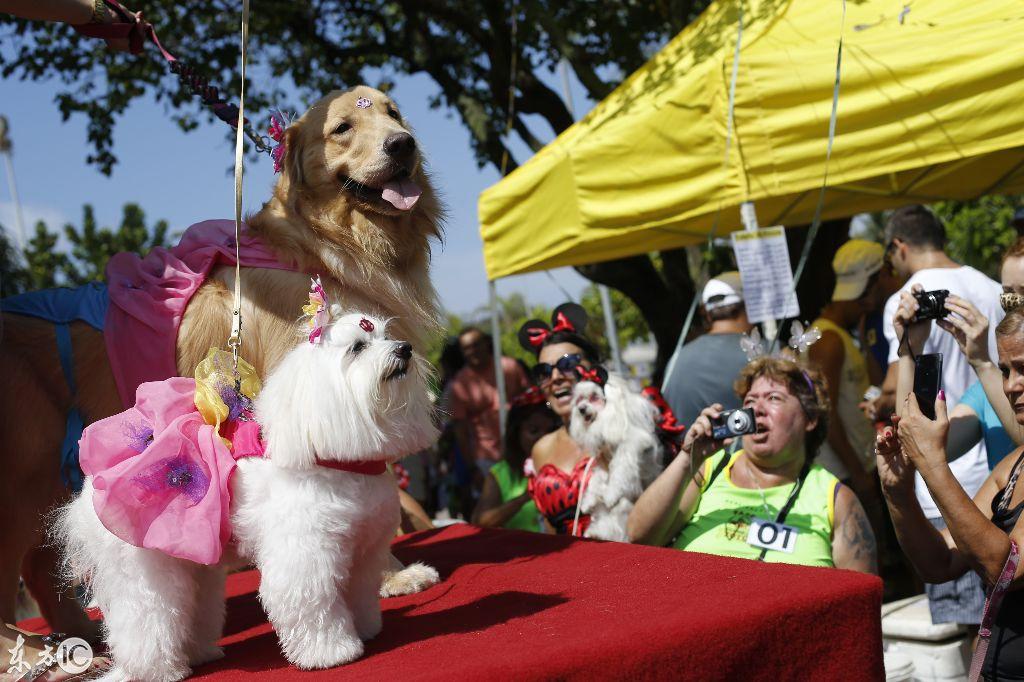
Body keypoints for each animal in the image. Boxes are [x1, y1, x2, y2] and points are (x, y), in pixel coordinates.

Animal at [56, 309, 438, 679]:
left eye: (386, 336)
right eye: (358, 347)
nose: (404, 349)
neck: (335, 459)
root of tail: (88, 491)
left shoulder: (363, 550)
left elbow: (359, 590)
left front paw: (367, 628)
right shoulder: (304, 557)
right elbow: (311, 602)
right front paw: (332, 652)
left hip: (195, 564)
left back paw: (200, 653)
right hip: (143, 572)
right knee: (145, 616)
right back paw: (157, 671)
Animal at [569, 368, 663, 540]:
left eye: (594, 397)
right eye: (580, 400)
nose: (581, 409)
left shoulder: (629, 448)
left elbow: (619, 471)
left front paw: (610, 495)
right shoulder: (601, 463)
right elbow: (596, 480)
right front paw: (588, 502)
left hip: (625, 506)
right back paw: (593, 532)